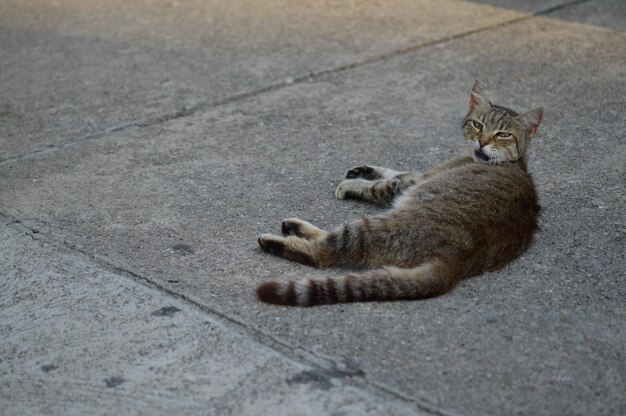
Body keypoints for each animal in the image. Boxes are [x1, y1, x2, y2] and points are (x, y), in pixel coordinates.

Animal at [256, 82, 540, 308]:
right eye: (477, 124)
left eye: (503, 134)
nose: (482, 142)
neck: (513, 163)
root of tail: (455, 261)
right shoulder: (420, 174)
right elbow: (393, 170)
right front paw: (364, 170)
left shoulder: (413, 182)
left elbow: (383, 184)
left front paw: (353, 183)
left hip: (373, 226)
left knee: (324, 253)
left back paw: (278, 238)